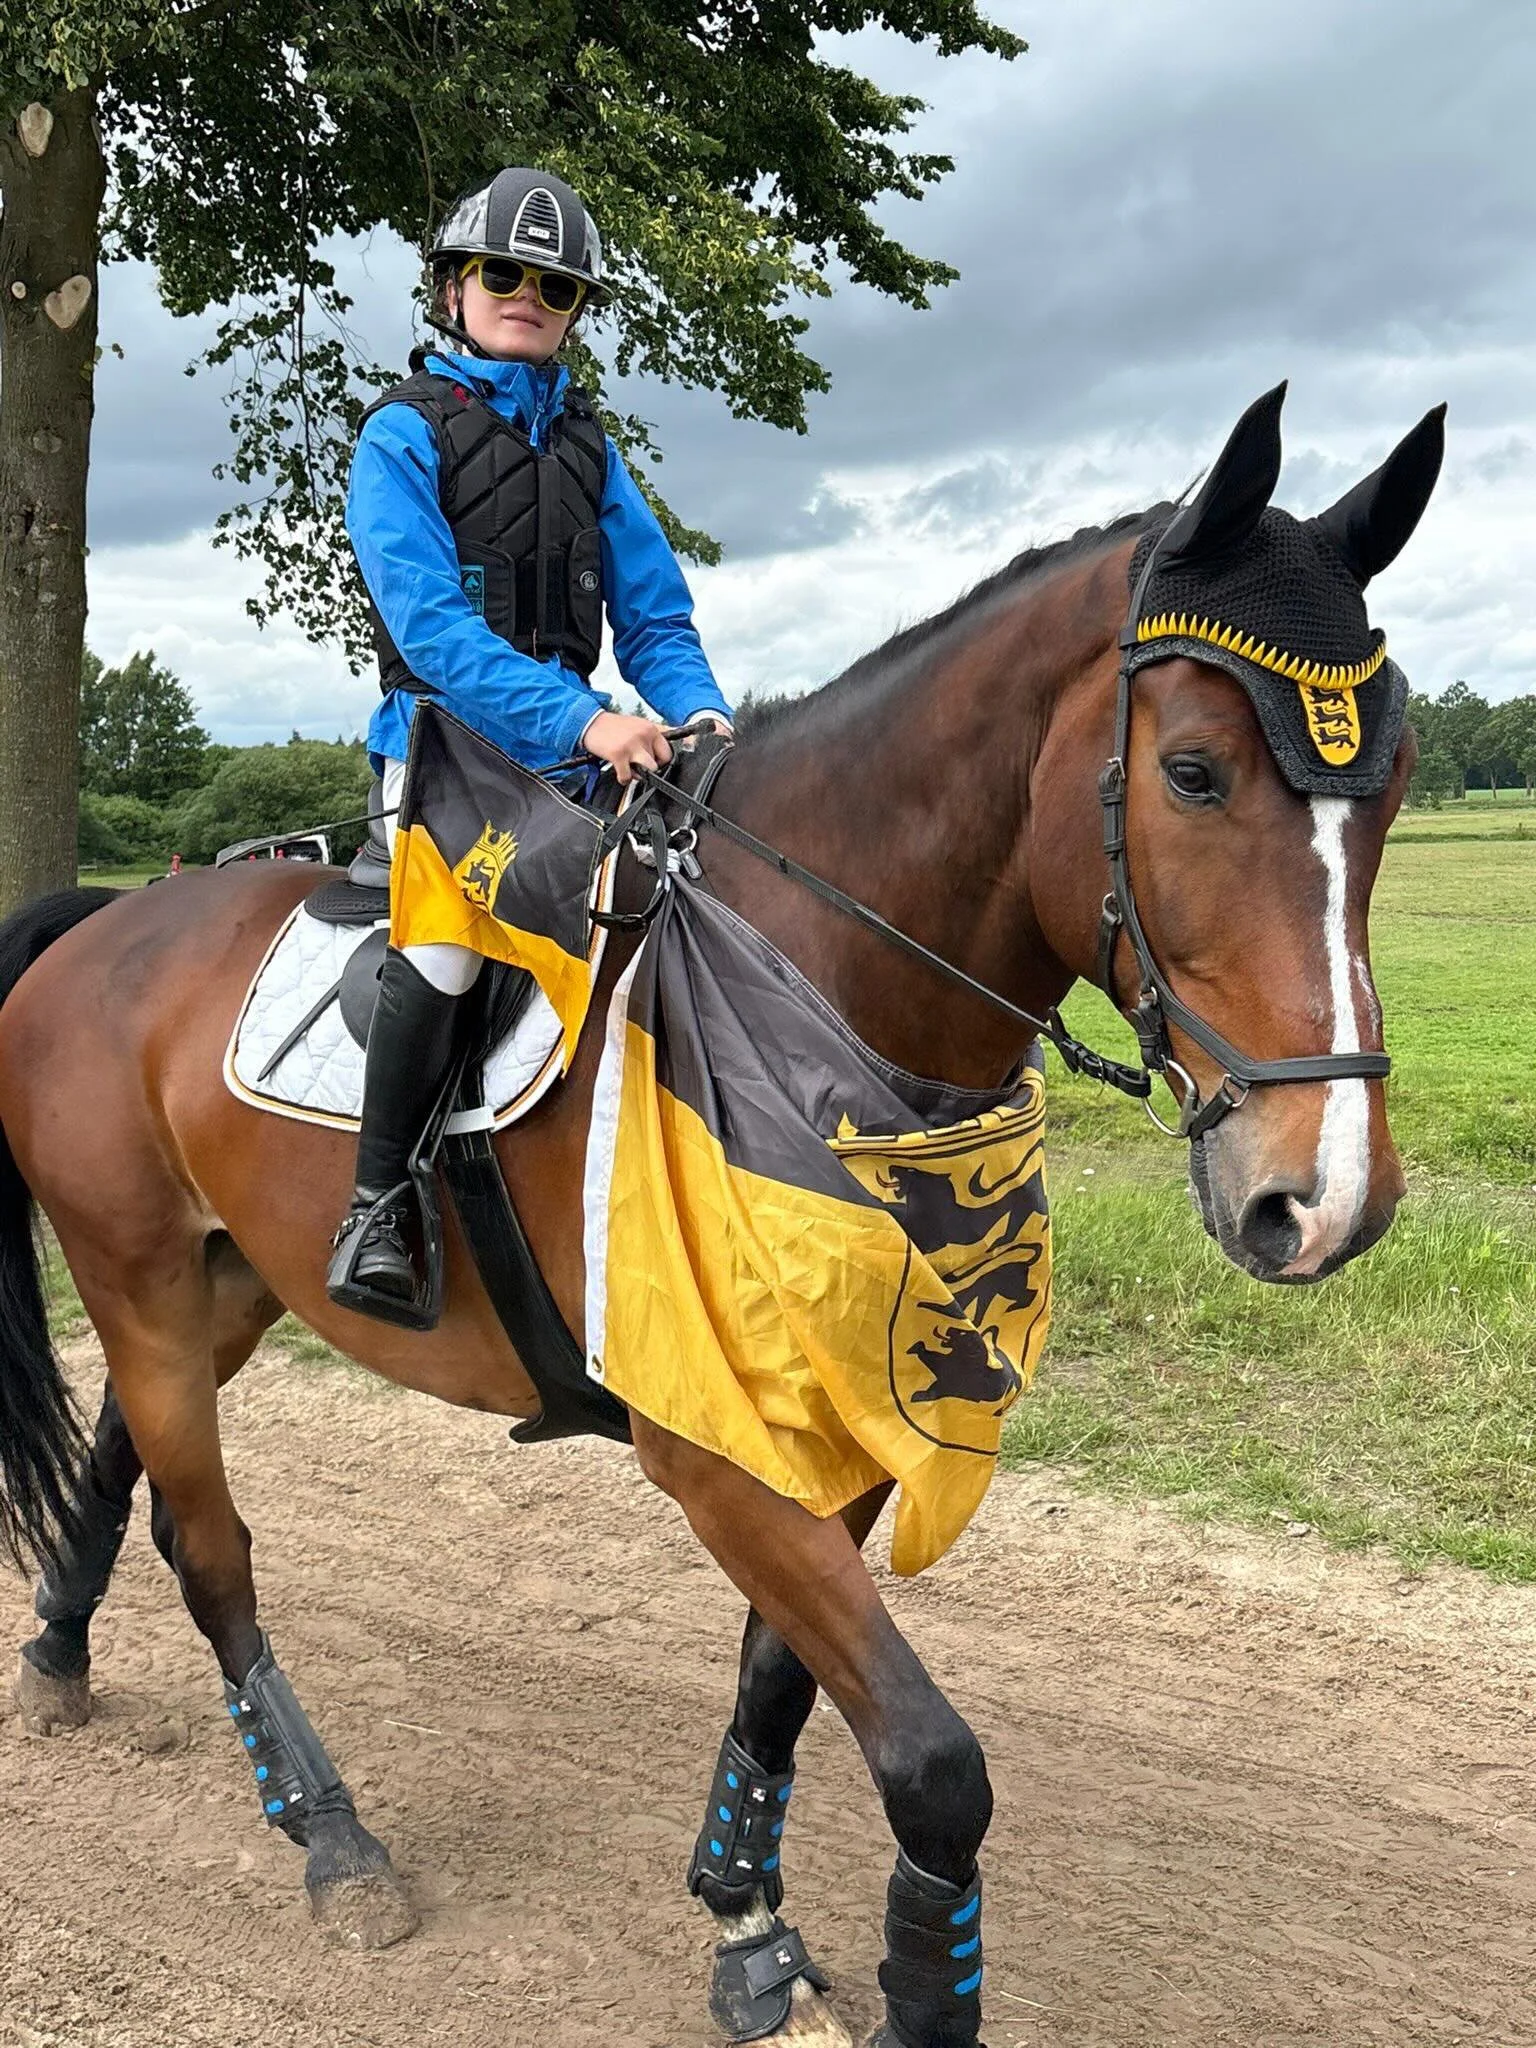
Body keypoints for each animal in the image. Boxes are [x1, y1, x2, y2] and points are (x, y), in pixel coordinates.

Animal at [0, 387, 1440, 2047]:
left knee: (132, 1465)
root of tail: (104, 923)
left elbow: (781, 1683)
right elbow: (935, 1765)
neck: (807, 986)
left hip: (222, 1282)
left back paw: (58, 1651)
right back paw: (333, 1837)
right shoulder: (718, 1458)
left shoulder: (846, 1431)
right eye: (1197, 772)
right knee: (214, 1546)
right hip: (143, 1279)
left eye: (1393, 783)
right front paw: (906, 1980)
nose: (1325, 1196)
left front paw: (743, 1918)